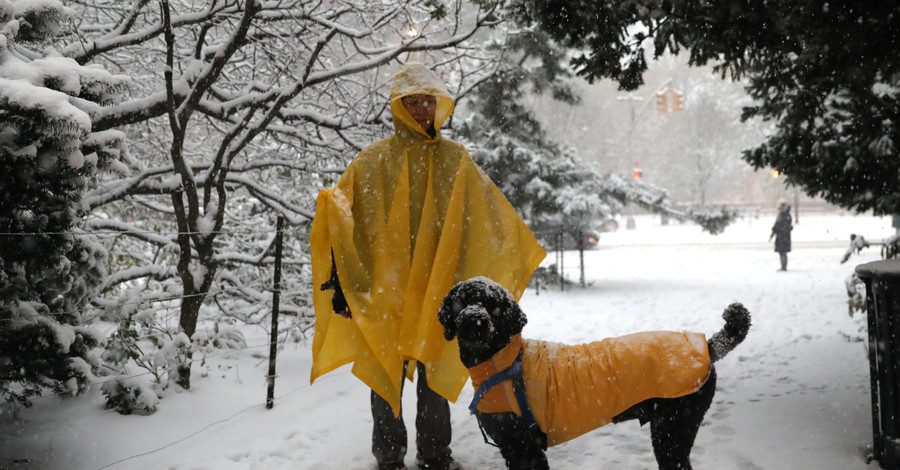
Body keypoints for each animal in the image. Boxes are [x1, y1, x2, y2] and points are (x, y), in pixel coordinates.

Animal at [438, 278, 752, 470]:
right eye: (461, 301)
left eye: (493, 305)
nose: (474, 320)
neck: (501, 359)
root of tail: (706, 345)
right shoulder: (515, 449)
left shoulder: (525, 449)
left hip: (673, 430)